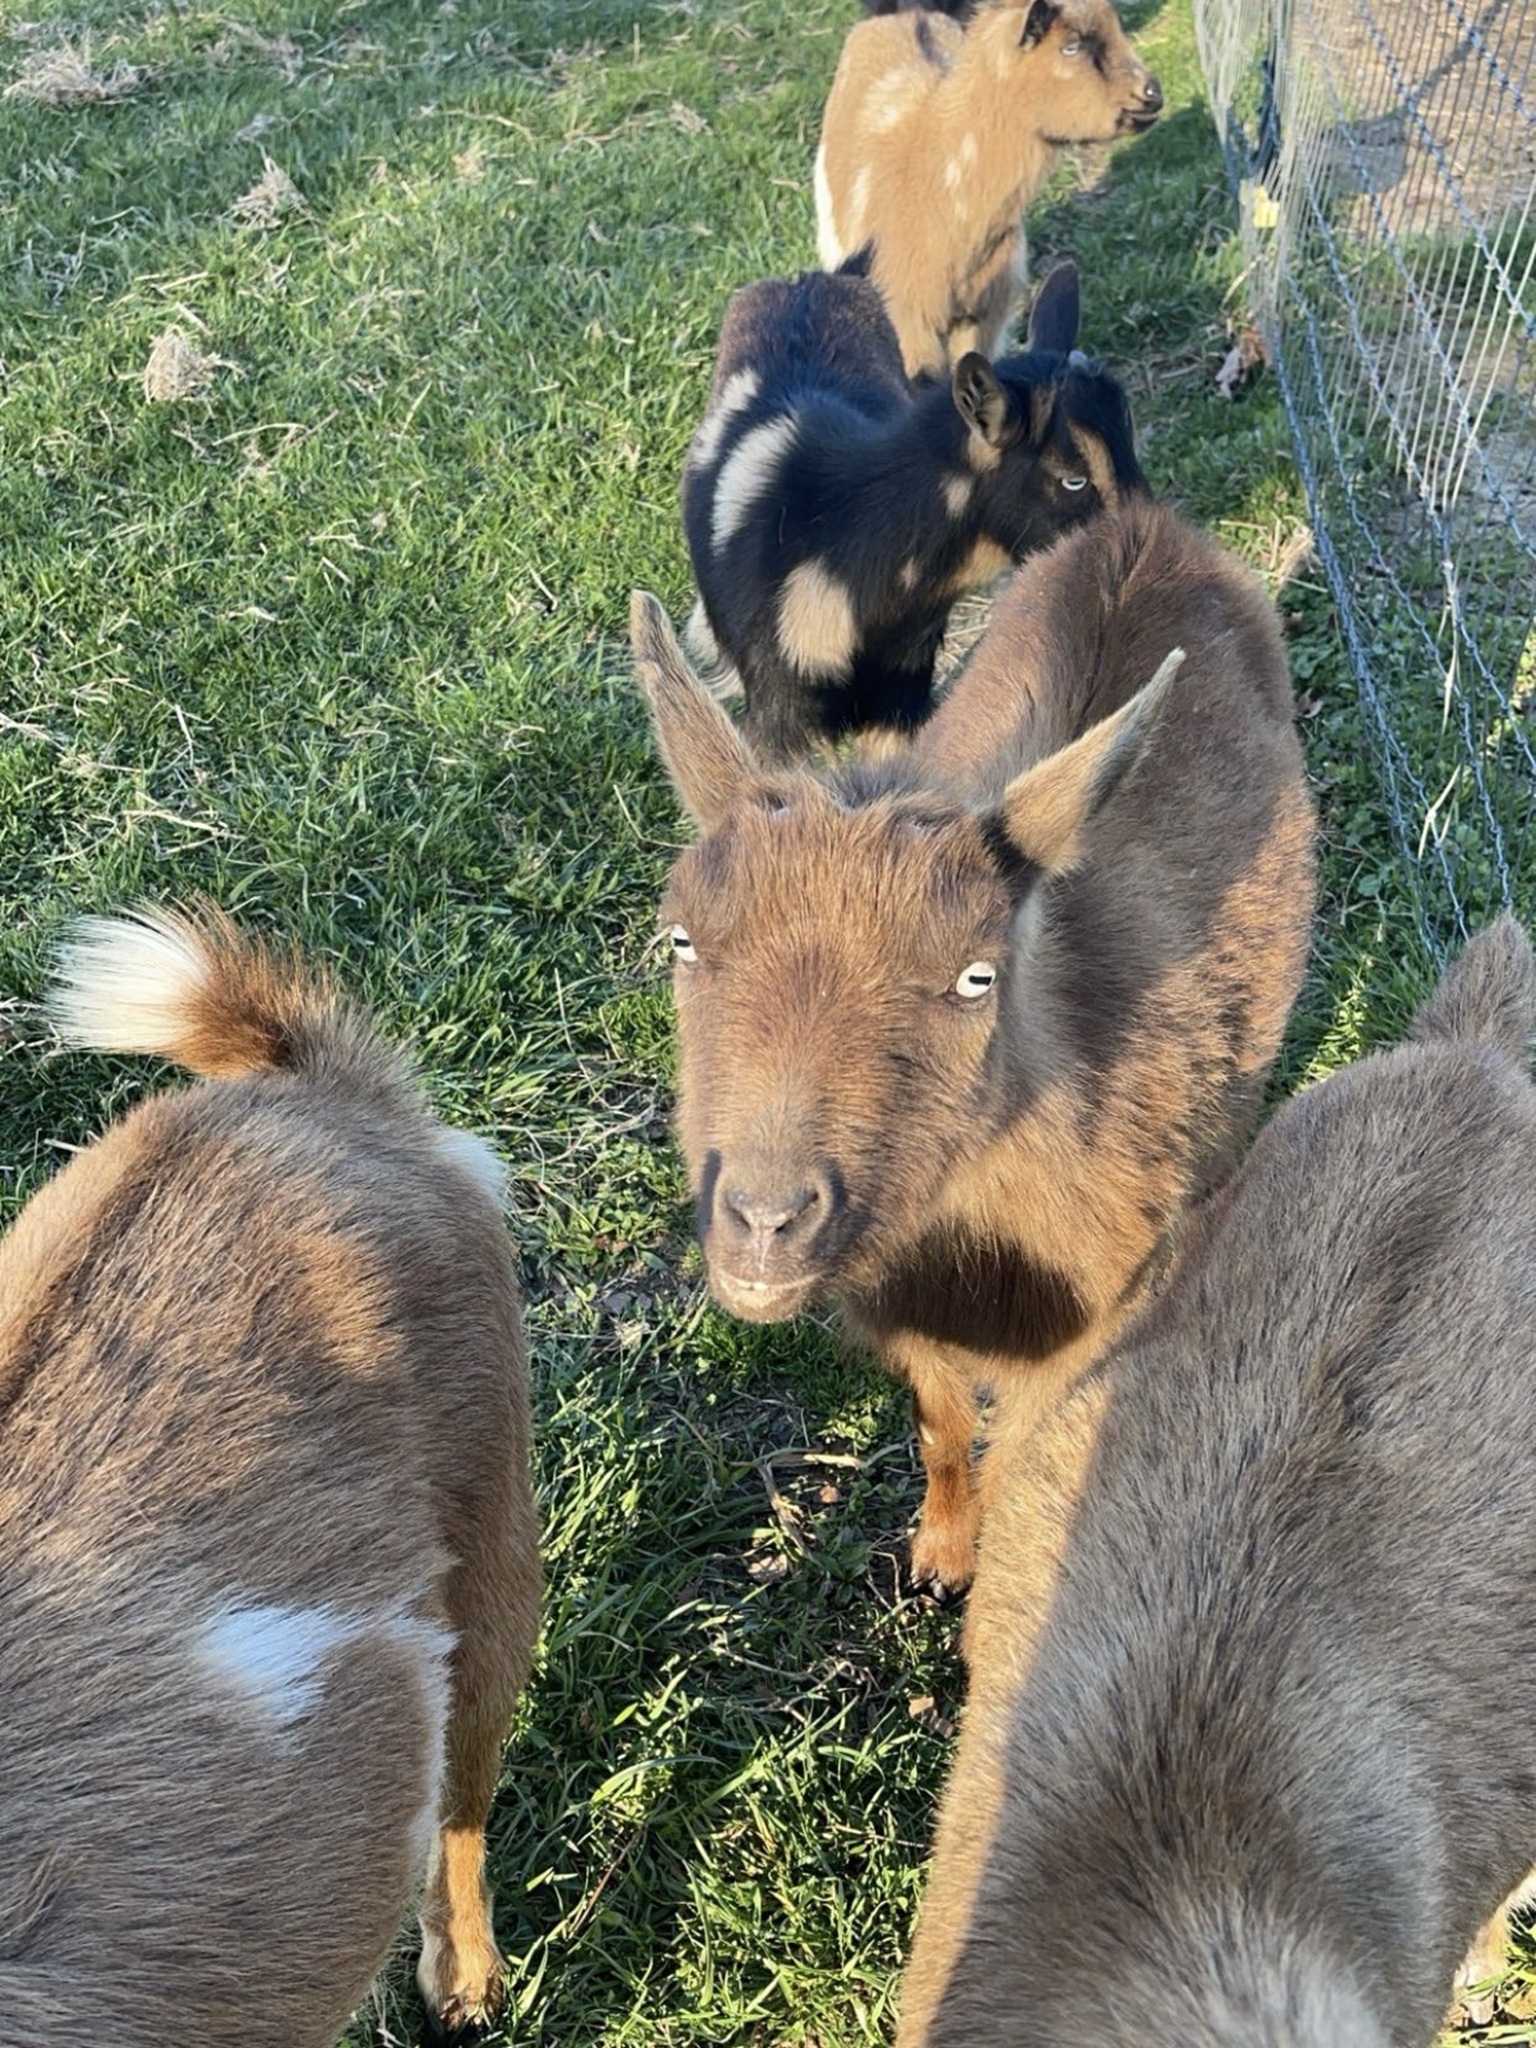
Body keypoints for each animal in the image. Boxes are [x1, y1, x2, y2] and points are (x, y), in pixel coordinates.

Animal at [631, 490, 1316, 1593]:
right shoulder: (908, 1313)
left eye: (975, 976)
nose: (766, 1220)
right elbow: (943, 1424)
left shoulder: (1080, 1334)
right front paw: (943, 1549)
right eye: (682, 939)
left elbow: (1033, 1475)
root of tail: (1145, 523)